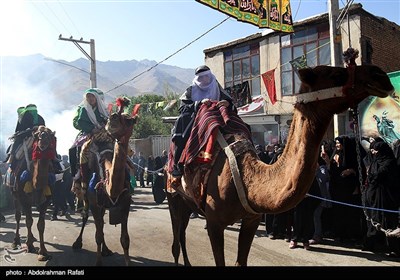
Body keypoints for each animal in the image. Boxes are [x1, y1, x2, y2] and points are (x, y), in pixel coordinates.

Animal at [7, 126, 56, 262]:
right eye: (36, 135)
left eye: (51, 135)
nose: (43, 138)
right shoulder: (24, 199)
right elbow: (29, 221)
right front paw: (29, 246)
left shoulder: (47, 199)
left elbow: (41, 224)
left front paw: (43, 252)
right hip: (14, 194)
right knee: (18, 216)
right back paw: (16, 241)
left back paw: (33, 238)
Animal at [70, 97, 136, 266]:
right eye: (115, 116)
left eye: (130, 119)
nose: (112, 117)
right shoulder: (94, 201)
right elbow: (98, 235)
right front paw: (98, 262)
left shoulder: (125, 202)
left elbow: (125, 239)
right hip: (86, 195)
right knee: (87, 218)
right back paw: (77, 243)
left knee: (100, 223)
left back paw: (106, 250)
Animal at [165, 64, 394, 266]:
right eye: (335, 74)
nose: (380, 75)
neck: (247, 179)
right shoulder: (214, 222)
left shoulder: (251, 220)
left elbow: (241, 262)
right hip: (174, 198)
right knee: (176, 240)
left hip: (187, 203)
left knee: (181, 234)